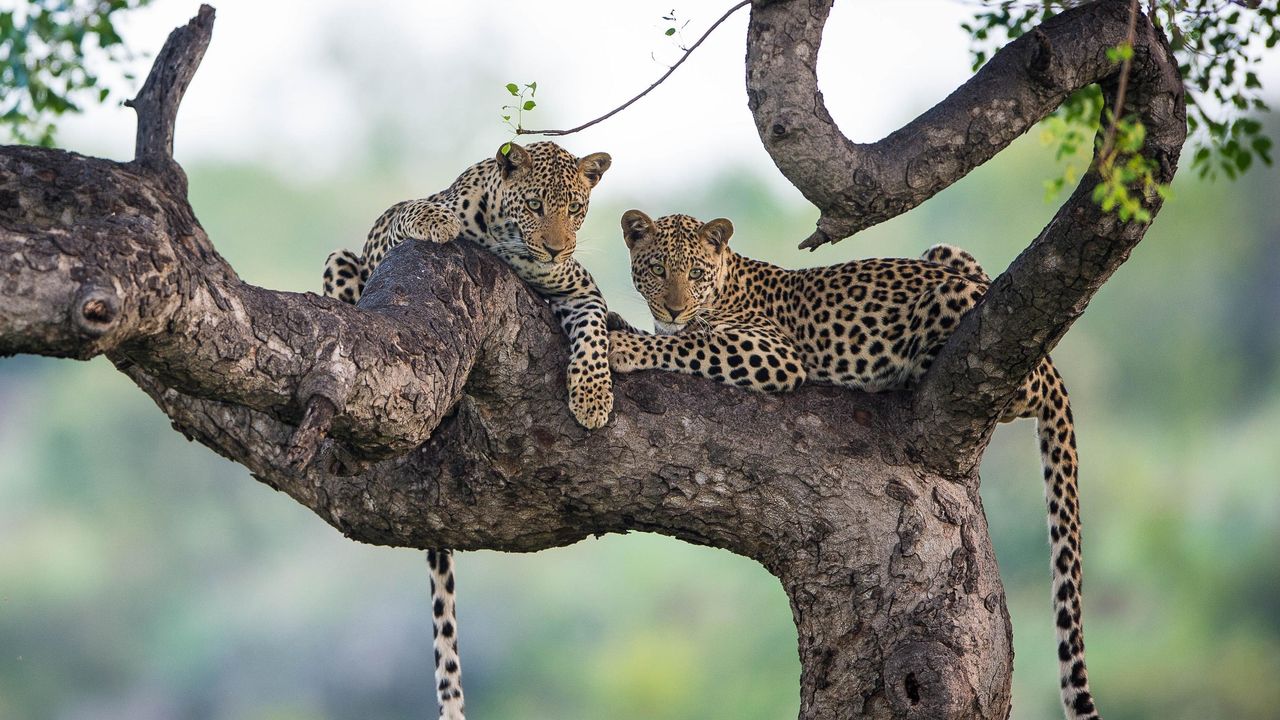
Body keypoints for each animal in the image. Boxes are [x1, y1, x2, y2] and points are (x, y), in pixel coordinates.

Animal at [318, 141, 609, 717]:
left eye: (574, 208)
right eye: (536, 205)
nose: (554, 249)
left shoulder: (580, 287)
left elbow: (594, 331)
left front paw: (592, 398)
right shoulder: (386, 237)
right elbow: (411, 210)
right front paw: (437, 220)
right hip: (340, 261)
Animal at [606, 210, 1100, 717]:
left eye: (695, 274)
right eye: (658, 269)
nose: (672, 309)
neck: (725, 283)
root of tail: (1051, 366)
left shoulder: (773, 352)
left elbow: (688, 345)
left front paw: (622, 345)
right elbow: (679, 338)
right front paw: (629, 325)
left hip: (952, 307)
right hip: (944, 253)